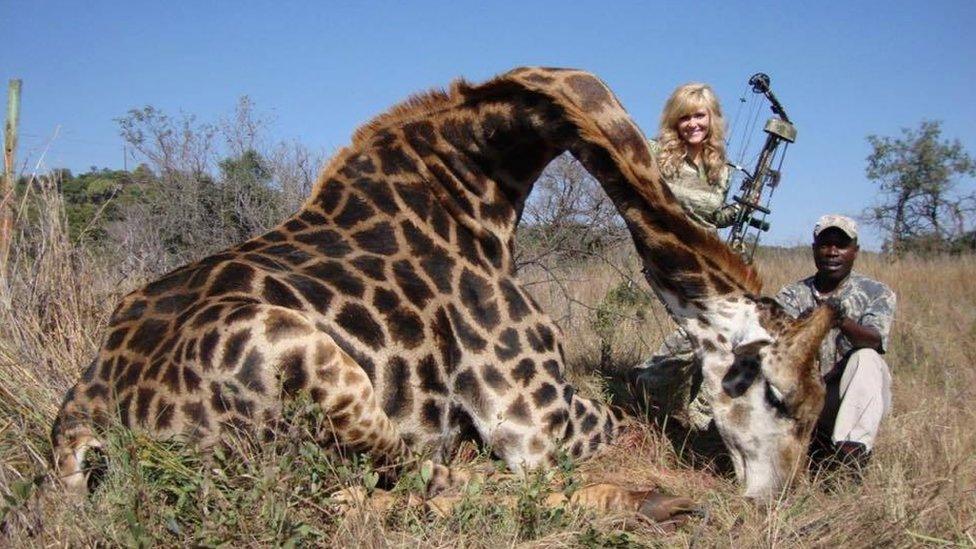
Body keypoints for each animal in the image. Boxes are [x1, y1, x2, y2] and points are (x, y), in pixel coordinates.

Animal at [49, 69, 836, 520]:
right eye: (782, 398)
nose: (775, 505)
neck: (486, 179)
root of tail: (85, 423)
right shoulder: (536, 422)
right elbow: (626, 426)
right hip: (307, 363)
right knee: (407, 487)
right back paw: (648, 500)